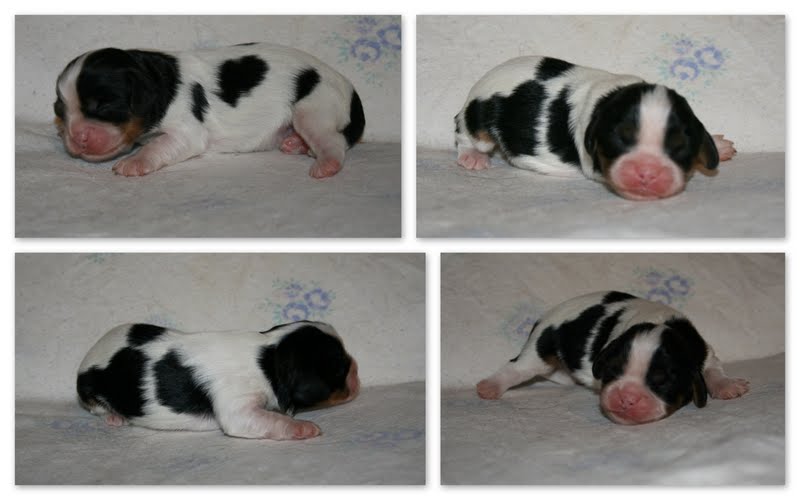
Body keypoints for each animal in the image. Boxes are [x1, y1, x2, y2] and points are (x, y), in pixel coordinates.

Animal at [54, 43, 365, 178]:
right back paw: (295, 143)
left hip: (313, 108)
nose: (76, 138)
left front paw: (133, 163)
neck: (158, 78)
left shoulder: (187, 133)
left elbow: (157, 146)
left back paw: (326, 164)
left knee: (334, 140)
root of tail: (349, 87)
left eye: (103, 105)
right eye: (60, 109)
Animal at [76, 320, 360, 440]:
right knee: (96, 407)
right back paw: (114, 417)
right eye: (340, 368)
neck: (267, 360)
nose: (357, 371)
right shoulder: (238, 410)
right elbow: (275, 419)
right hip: (88, 390)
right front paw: (304, 428)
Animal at [454, 56, 736, 200]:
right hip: (478, 120)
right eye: (620, 139)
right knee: (463, 131)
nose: (646, 173)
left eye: (679, 146)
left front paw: (719, 146)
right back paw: (472, 157)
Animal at [476, 291, 749, 424]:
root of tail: (546, 316)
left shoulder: (703, 350)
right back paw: (489, 386)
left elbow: (713, 367)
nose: (626, 398)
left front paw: (727, 386)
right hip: (539, 350)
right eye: (612, 370)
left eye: (662, 381)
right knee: (516, 367)